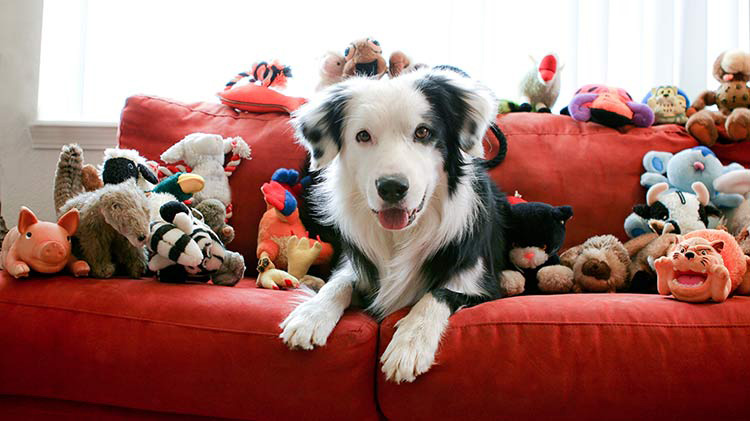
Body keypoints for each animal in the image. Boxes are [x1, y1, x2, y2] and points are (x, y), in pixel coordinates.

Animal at [280, 67, 516, 382]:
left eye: (423, 132)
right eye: (363, 135)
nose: (392, 187)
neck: (402, 235)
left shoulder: (482, 286)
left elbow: (437, 294)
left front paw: (409, 344)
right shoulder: (356, 264)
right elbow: (338, 283)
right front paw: (311, 315)